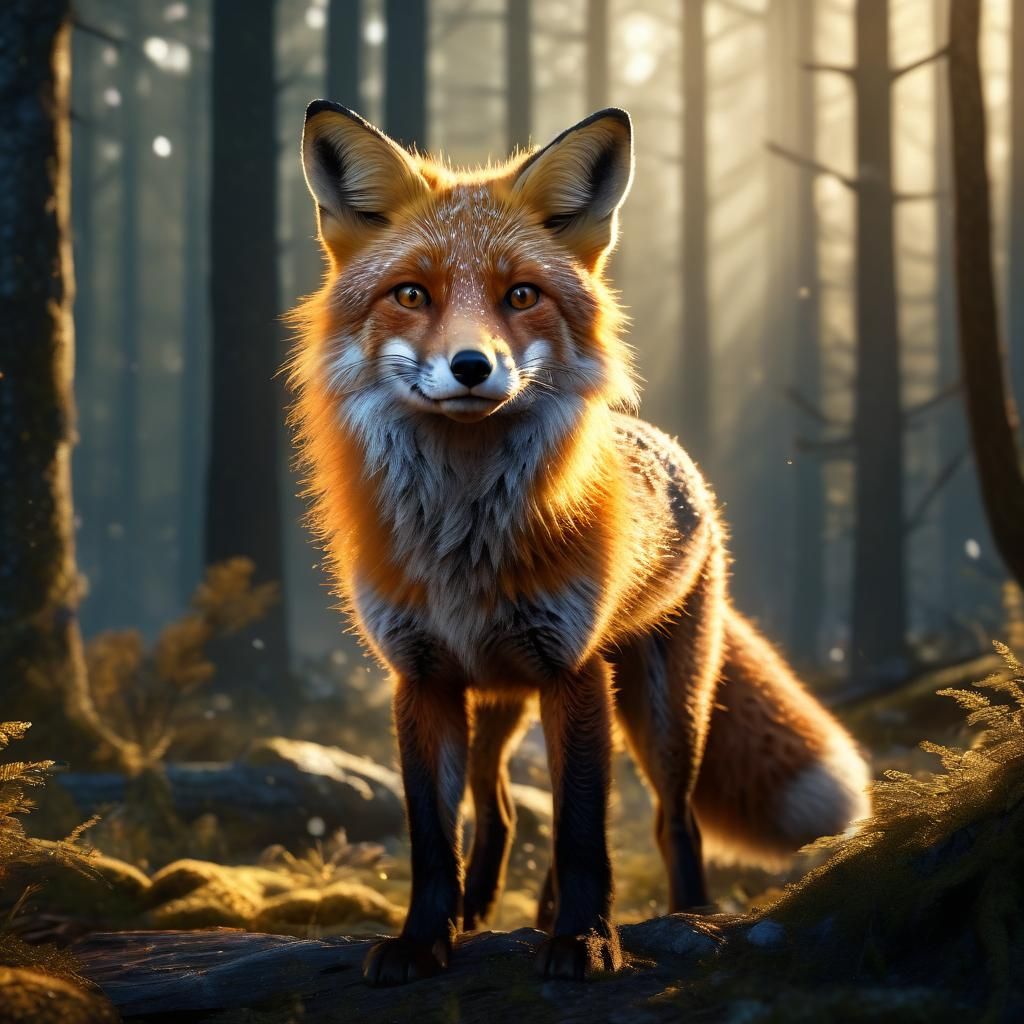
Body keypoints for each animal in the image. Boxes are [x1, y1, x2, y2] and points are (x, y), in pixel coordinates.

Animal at [288, 101, 871, 986]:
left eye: (521, 294)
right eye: (411, 293)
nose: (472, 365)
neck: (464, 539)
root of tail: (676, 455)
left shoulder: (572, 667)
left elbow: (583, 831)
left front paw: (587, 941)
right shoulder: (421, 677)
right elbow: (433, 838)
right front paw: (425, 939)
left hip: (660, 706)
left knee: (669, 820)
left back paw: (685, 914)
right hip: (497, 699)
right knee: (496, 809)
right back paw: (482, 909)